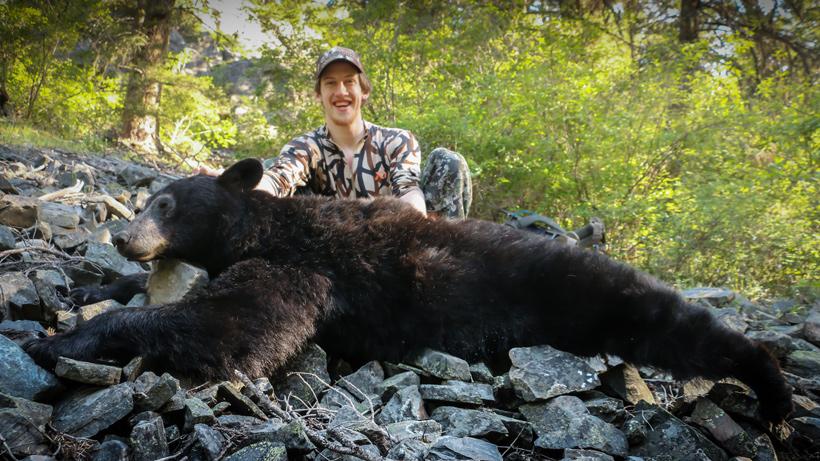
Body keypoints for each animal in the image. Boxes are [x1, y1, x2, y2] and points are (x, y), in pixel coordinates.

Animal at [25, 158, 793, 422]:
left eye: (166, 204)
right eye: (145, 202)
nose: (125, 238)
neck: (262, 224)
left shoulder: (304, 269)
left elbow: (236, 330)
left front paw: (61, 340)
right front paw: (94, 291)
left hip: (596, 295)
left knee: (681, 327)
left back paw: (774, 390)